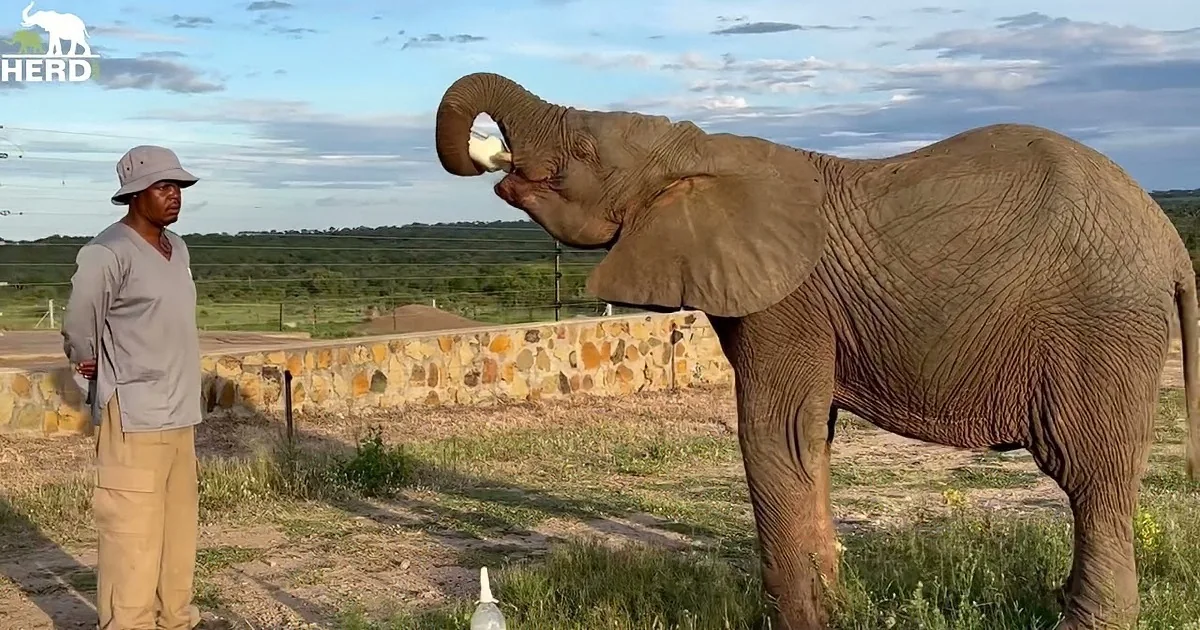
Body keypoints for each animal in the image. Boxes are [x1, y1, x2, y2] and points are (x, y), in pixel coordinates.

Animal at [431, 72, 1200, 630]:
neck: (701, 151)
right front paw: (836, 604)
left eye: (585, 155)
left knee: (1092, 476)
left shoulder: (787, 300)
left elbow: (775, 435)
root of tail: (1169, 238)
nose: (485, 152)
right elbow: (811, 439)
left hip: (1102, 323)